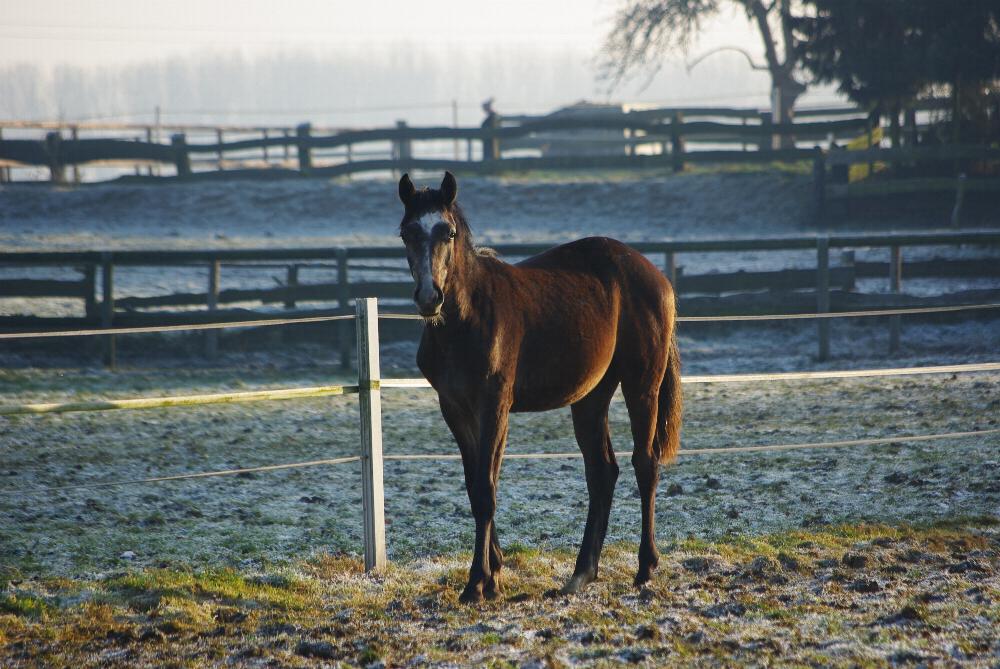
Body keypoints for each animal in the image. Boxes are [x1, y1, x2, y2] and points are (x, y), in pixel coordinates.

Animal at [396, 171, 680, 600]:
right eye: (407, 232)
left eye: (448, 232)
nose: (430, 297)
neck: (466, 318)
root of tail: (657, 276)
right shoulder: (455, 408)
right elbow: (475, 485)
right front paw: (494, 573)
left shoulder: (494, 405)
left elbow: (485, 490)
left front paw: (477, 583)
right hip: (591, 396)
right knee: (602, 472)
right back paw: (581, 574)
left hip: (641, 383)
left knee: (645, 464)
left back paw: (645, 568)